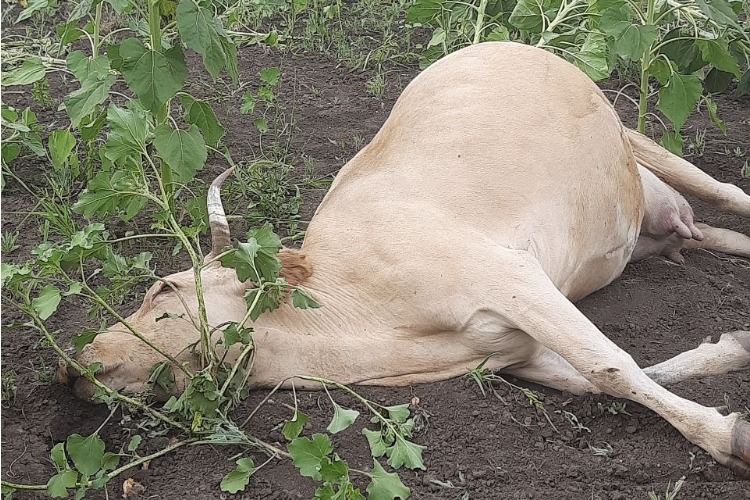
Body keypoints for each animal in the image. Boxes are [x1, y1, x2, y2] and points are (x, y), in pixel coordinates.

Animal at [61, 42, 748, 472]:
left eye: (165, 288)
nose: (75, 366)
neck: (366, 324)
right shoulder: (516, 351)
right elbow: (613, 375)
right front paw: (731, 351)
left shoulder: (511, 275)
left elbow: (611, 365)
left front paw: (727, 435)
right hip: (657, 225)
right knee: (709, 235)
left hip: (635, 139)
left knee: (726, 192)